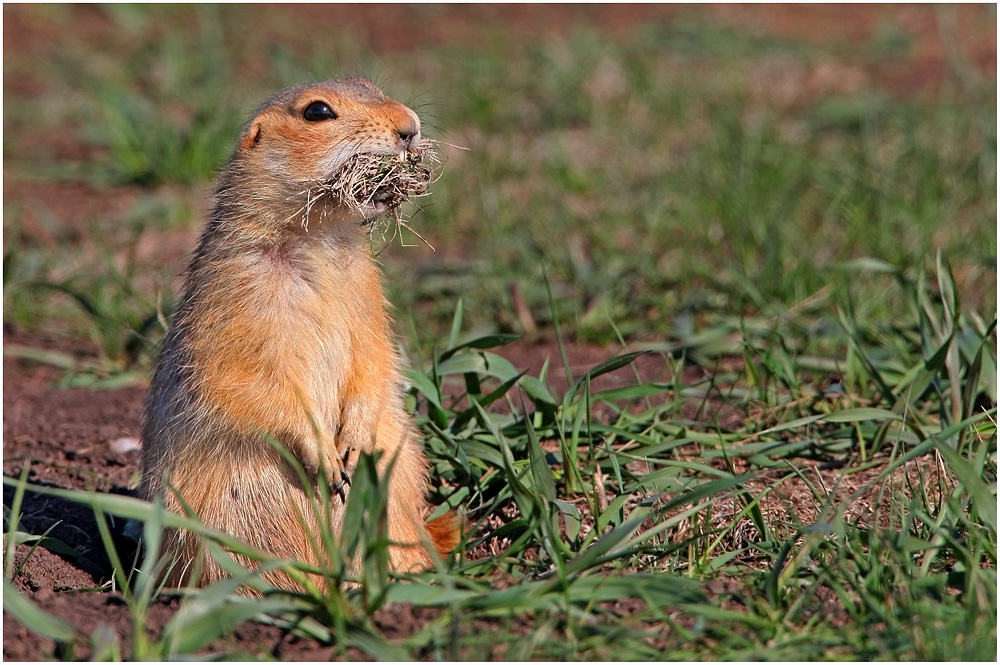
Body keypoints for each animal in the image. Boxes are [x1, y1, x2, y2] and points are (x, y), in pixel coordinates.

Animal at [138, 75, 458, 588]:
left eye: (372, 84)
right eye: (317, 111)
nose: (410, 126)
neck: (318, 240)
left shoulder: (368, 291)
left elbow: (375, 358)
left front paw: (353, 444)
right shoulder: (234, 293)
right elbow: (241, 377)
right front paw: (324, 454)